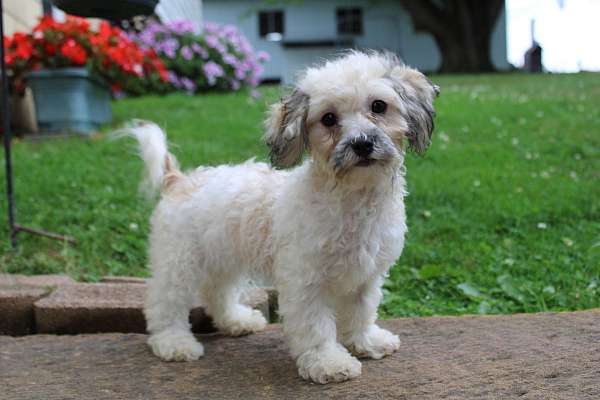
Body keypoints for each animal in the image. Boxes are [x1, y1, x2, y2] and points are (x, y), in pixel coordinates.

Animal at [129, 50, 438, 384]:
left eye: (378, 106)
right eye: (329, 118)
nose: (362, 143)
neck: (352, 200)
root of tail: (178, 179)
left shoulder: (365, 277)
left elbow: (361, 312)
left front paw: (366, 341)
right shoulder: (305, 280)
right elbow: (316, 326)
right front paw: (328, 362)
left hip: (223, 257)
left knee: (216, 292)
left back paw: (236, 320)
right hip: (179, 262)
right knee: (165, 302)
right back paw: (173, 342)